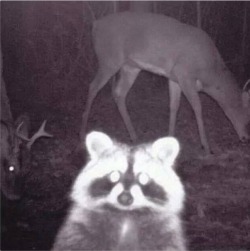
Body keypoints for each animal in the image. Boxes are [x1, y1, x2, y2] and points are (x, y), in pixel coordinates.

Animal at [52, 132, 186, 250]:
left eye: (143, 178)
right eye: (114, 175)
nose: (125, 198)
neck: (126, 214)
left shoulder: (166, 235)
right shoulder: (79, 229)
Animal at [81, 11, 249, 154]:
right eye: (248, 116)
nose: (245, 137)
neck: (210, 73)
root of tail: (96, 24)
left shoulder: (174, 78)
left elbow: (174, 106)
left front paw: (170, 137)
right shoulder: (185, 74)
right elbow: (197, 107)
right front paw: (206, 147)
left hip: (130, 67)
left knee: (119, 93)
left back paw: (134, 137)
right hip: (109, 59)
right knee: (92, 87)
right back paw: (83, 131)